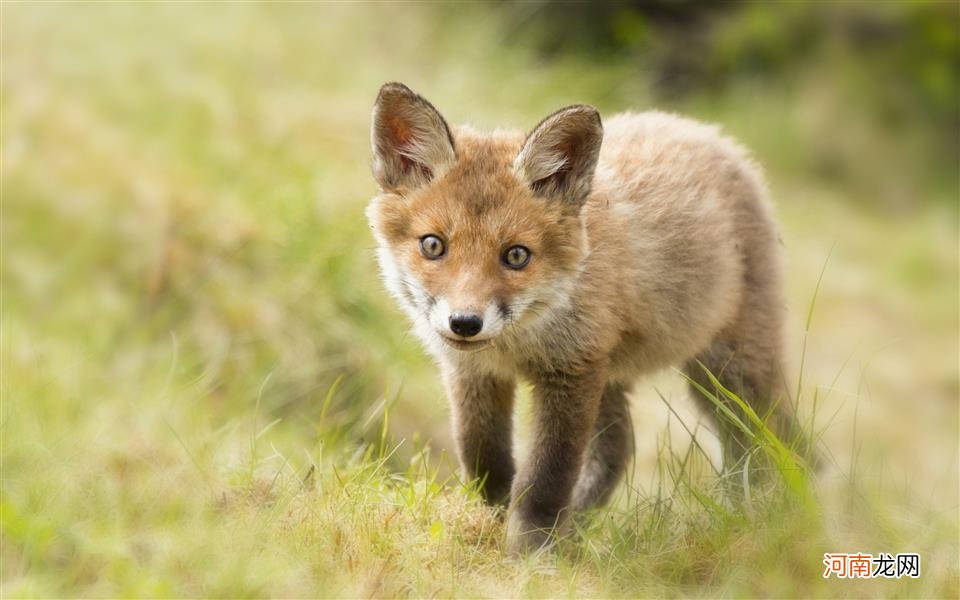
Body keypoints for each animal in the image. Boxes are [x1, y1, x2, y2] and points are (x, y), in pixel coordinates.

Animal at [368, 82, 808, 552]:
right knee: (620, 447)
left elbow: (546, 477)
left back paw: (764, 516)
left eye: (516, 256)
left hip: (730, 373)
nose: (465, 323)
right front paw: (493, 520)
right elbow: (484, 456)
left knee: (770, 442)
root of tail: (707, 131)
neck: (519, 342)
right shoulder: (474, 372)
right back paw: (580, 526)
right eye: (433, 245)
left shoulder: (571, 371)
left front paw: (532, 551)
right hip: (619, 374)